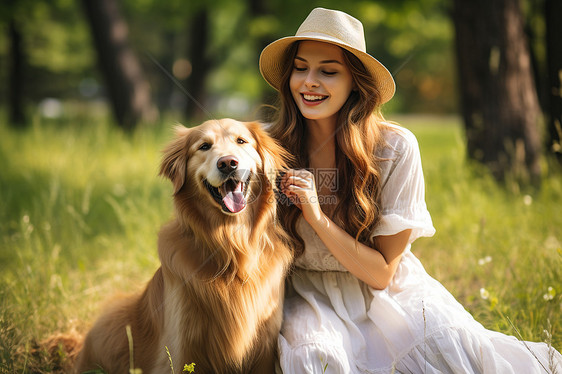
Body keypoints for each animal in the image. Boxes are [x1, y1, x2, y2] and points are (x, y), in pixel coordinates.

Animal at [73, 118, 294, 372]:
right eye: (204, 146)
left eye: (241, 141)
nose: (228, 163)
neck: (230, 249)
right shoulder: (183, 346)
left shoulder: (266, 345)